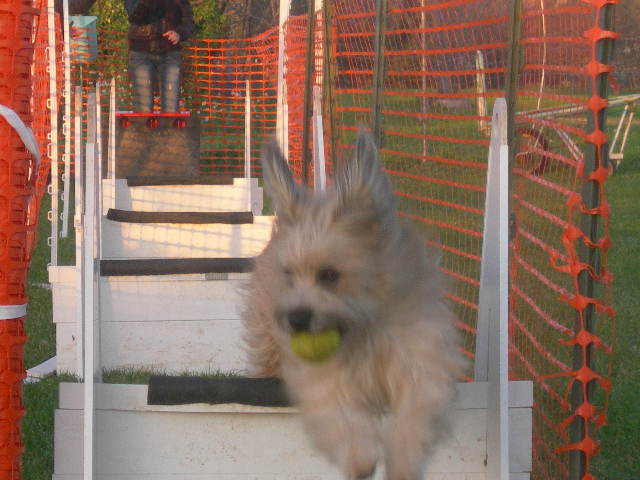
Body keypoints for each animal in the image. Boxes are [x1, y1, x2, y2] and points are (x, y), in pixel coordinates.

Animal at [242, 131, 462, 480]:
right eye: (288, 275)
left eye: (330, 274)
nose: (297, 319)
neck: (364, 328)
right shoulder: (323, 378)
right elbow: (340, 415)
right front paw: (359, 459)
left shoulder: (422, 358)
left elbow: (414, 413)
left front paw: (402, 462)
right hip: (266, 329)